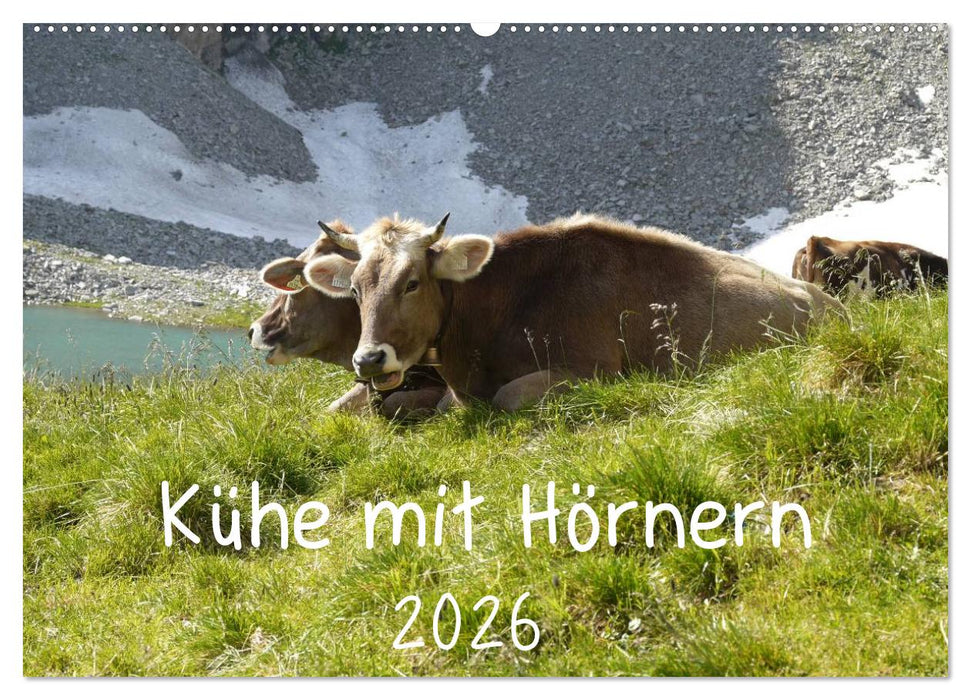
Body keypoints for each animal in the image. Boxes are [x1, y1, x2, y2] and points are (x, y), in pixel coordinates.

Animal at [302, 213, 846, 412]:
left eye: (411, 282)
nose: (369, 360)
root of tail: (831, 305)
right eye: (355, 290)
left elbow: (507, 397)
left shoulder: (593, 371)